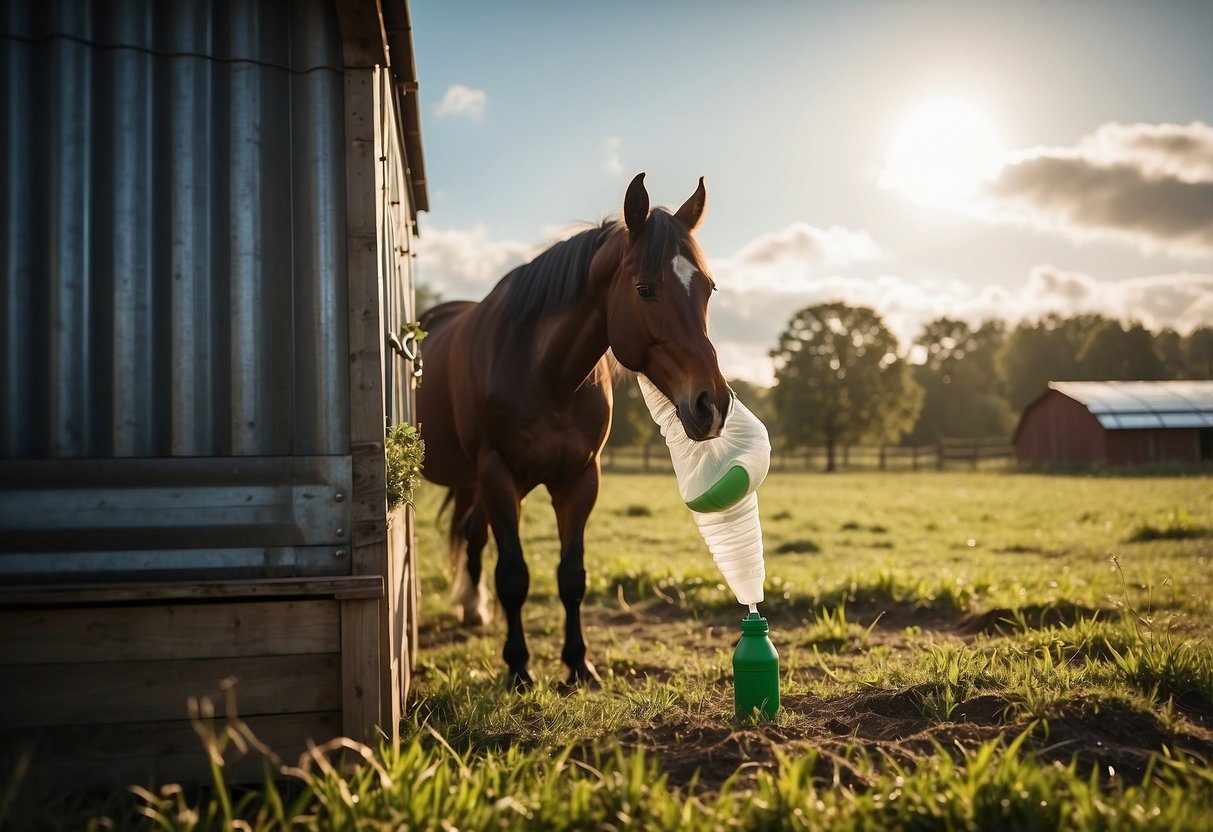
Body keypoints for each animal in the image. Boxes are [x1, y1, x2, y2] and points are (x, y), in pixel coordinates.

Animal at [417, 174, 727, 688]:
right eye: (644, 289)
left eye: (708, 287)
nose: (713, 404)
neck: (544, 373)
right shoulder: (498, 475)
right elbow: (514, 576)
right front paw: (519, 667)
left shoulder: (580, 479)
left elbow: (572, 576)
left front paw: (579, 665)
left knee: (473, 533)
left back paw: (473, 608)